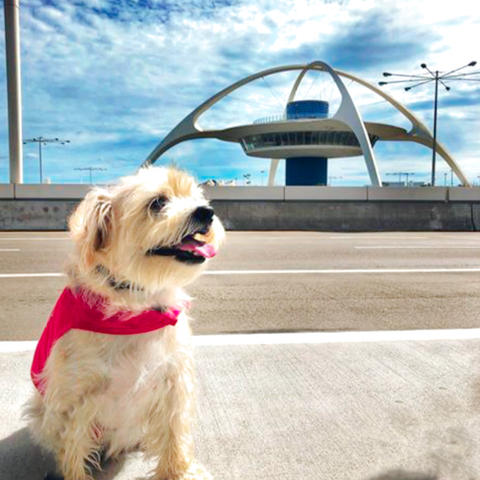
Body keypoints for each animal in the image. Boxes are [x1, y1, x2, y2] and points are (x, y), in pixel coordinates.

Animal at [23, 166, 225, 480]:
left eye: (198, 197)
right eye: (157, 202)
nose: (207, 212)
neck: (137, 309)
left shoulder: (173, 382)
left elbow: (174, 437)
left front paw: (178, 473)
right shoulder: (74, 401)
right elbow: (73, 451)